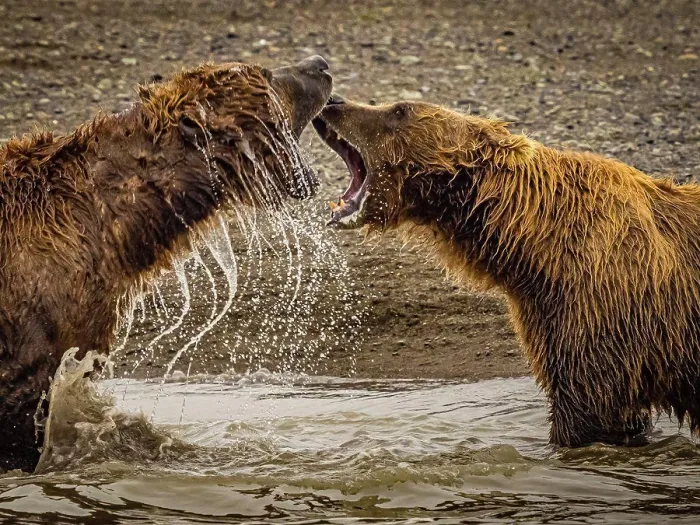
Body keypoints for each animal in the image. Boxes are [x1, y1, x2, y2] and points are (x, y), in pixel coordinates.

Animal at [313, 95, 700, 448]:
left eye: (399, 110)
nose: (334, 101)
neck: (535, 245)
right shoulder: (551, 313)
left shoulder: (602, 305)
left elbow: (590, 409)